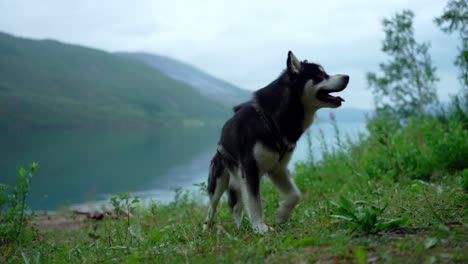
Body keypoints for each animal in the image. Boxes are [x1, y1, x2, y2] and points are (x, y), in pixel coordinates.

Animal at [203, 51, 350, 233]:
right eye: (319, 76)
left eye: (325, 73)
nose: (347, 77)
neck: (271, 118)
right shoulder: (250, 169)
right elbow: (255, 202)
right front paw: (260, 227)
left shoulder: (277, 169)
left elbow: (295, 195)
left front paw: (282, 214)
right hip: (219, 182)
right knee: (212, 207)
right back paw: (207, 228)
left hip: (240, 180)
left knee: (236, 206)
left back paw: (239, 227)